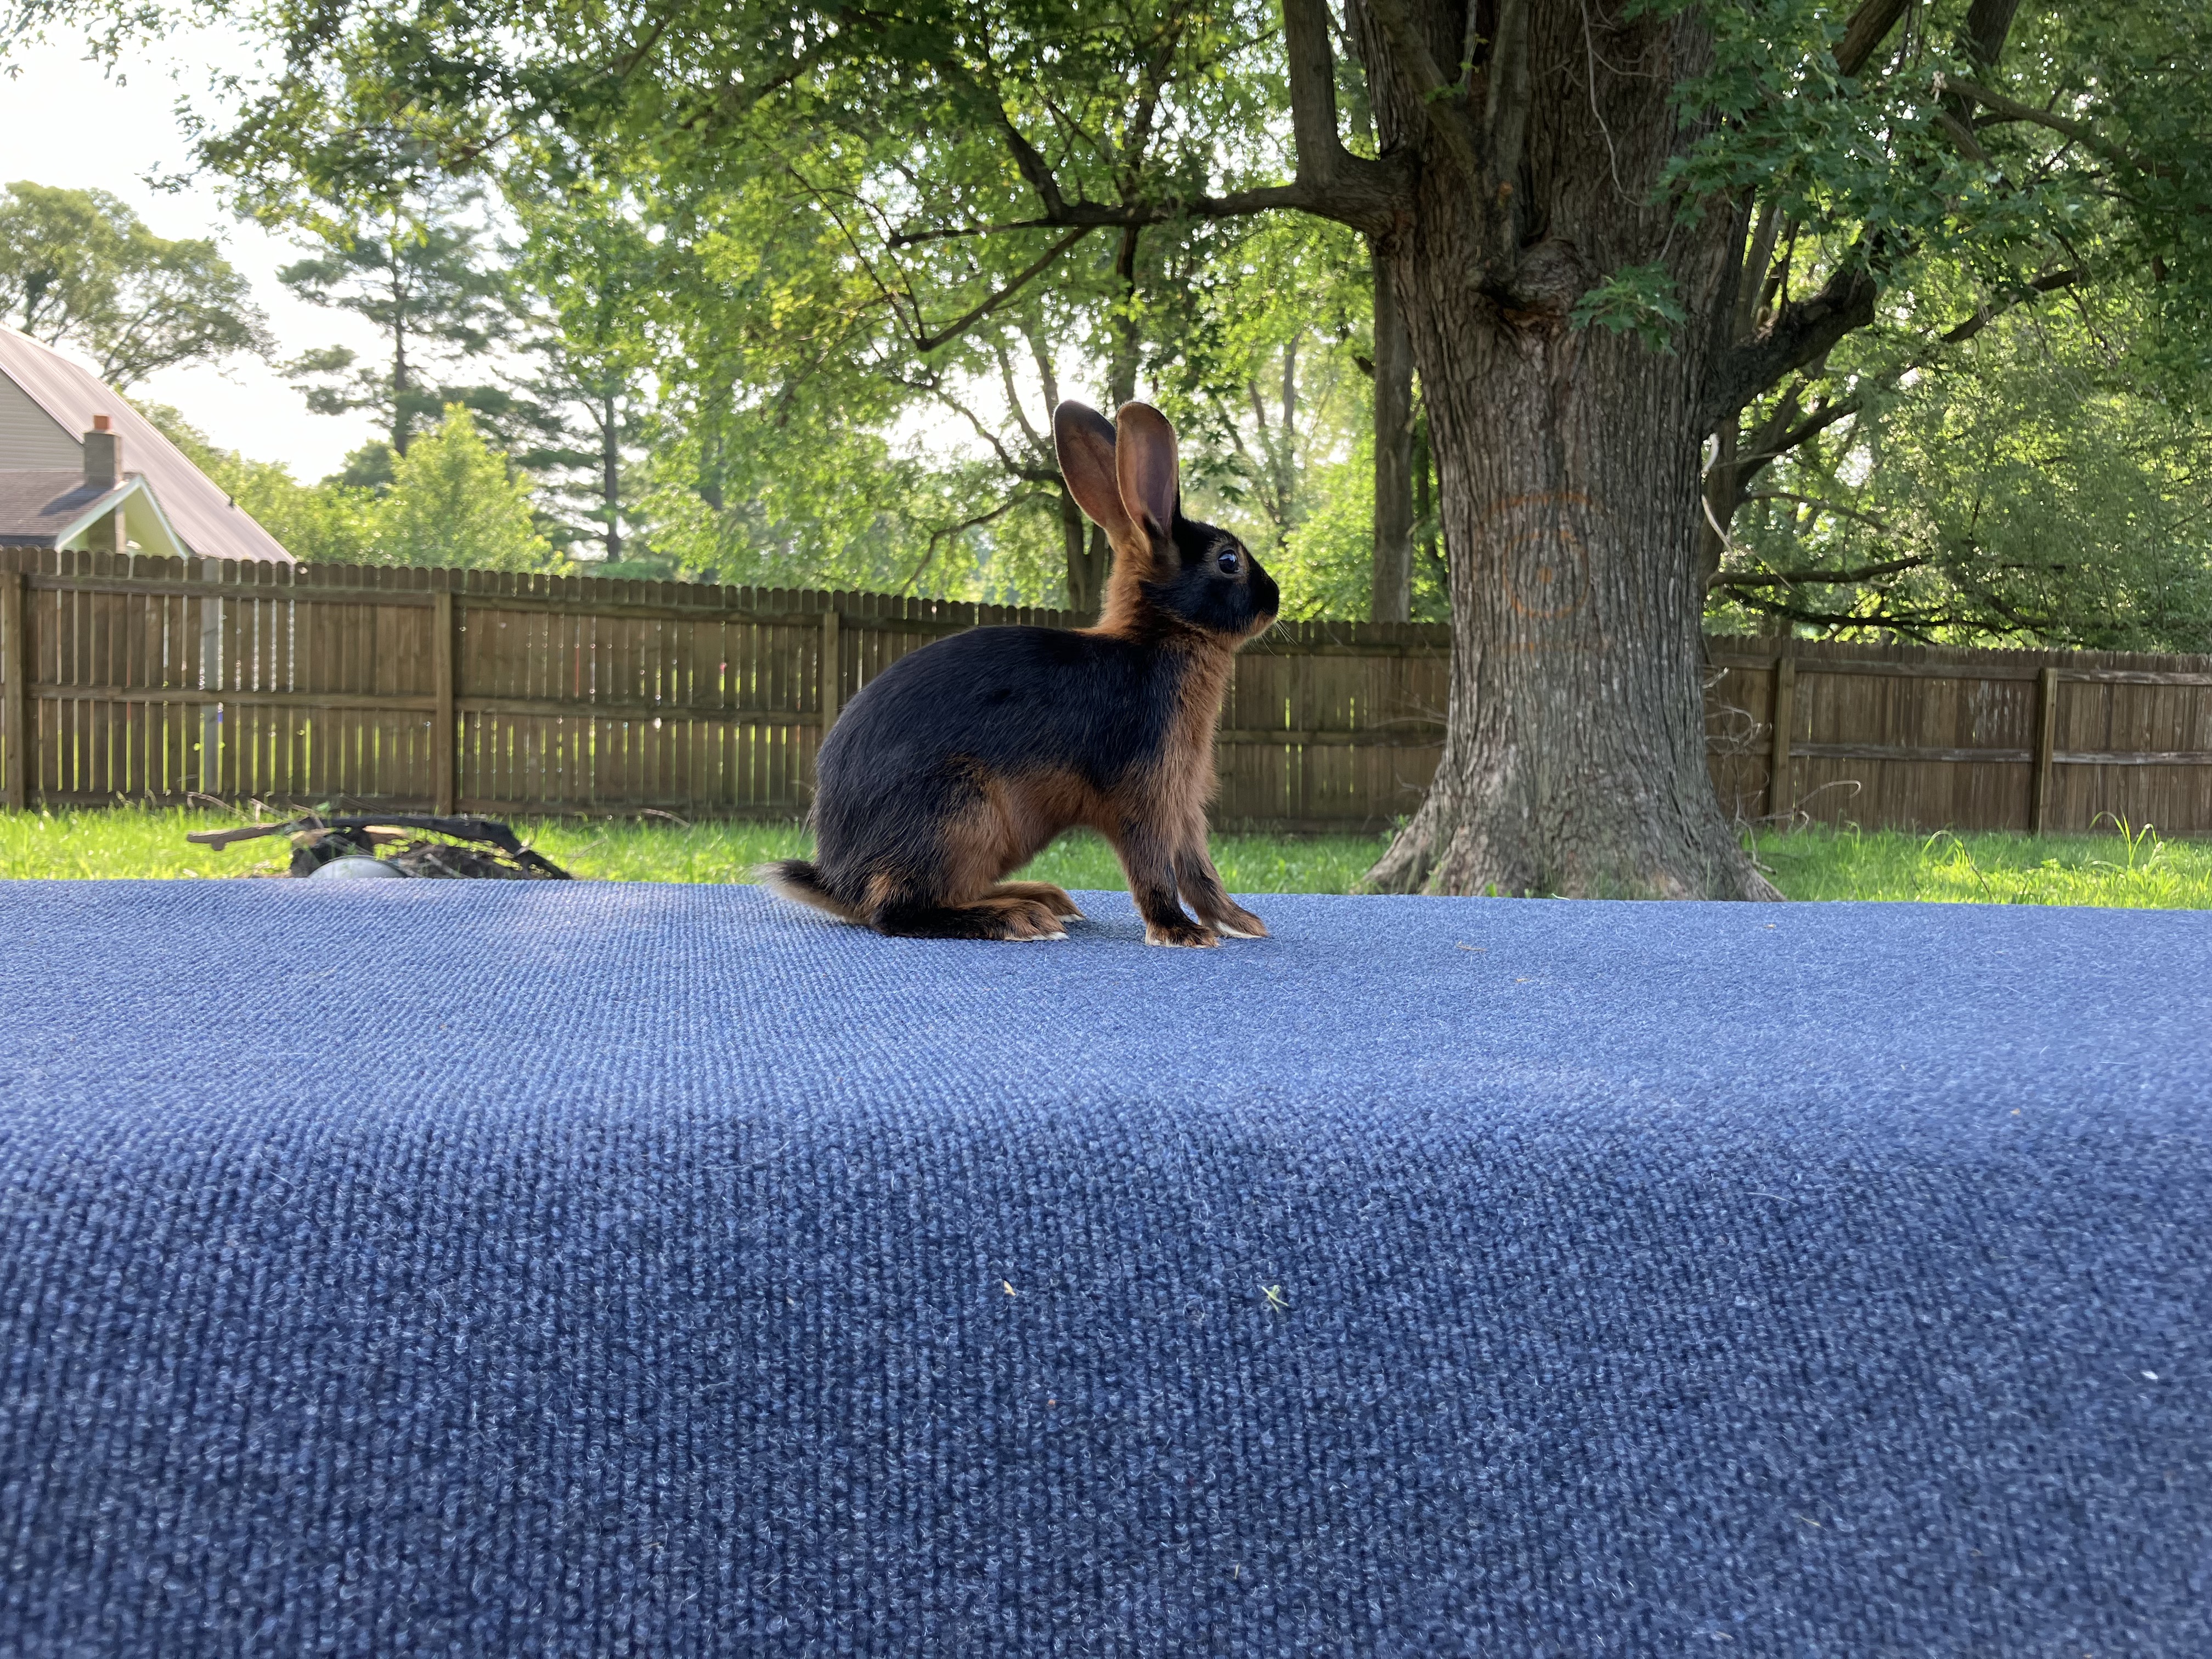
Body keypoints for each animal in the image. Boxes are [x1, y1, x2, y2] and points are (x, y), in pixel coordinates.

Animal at [758, 399, 1279, 946]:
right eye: (1228, 561)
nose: (1276, 597)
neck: (1159, 638)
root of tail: (841, 881)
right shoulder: (1146, 796)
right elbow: (1153, 869)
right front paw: (1180, 932)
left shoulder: (1185, 804)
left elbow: (1200, 870)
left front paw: (1239, 922)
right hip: (956, 812)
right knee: (897, 911)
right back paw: (1019, 918)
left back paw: (1041, 899)